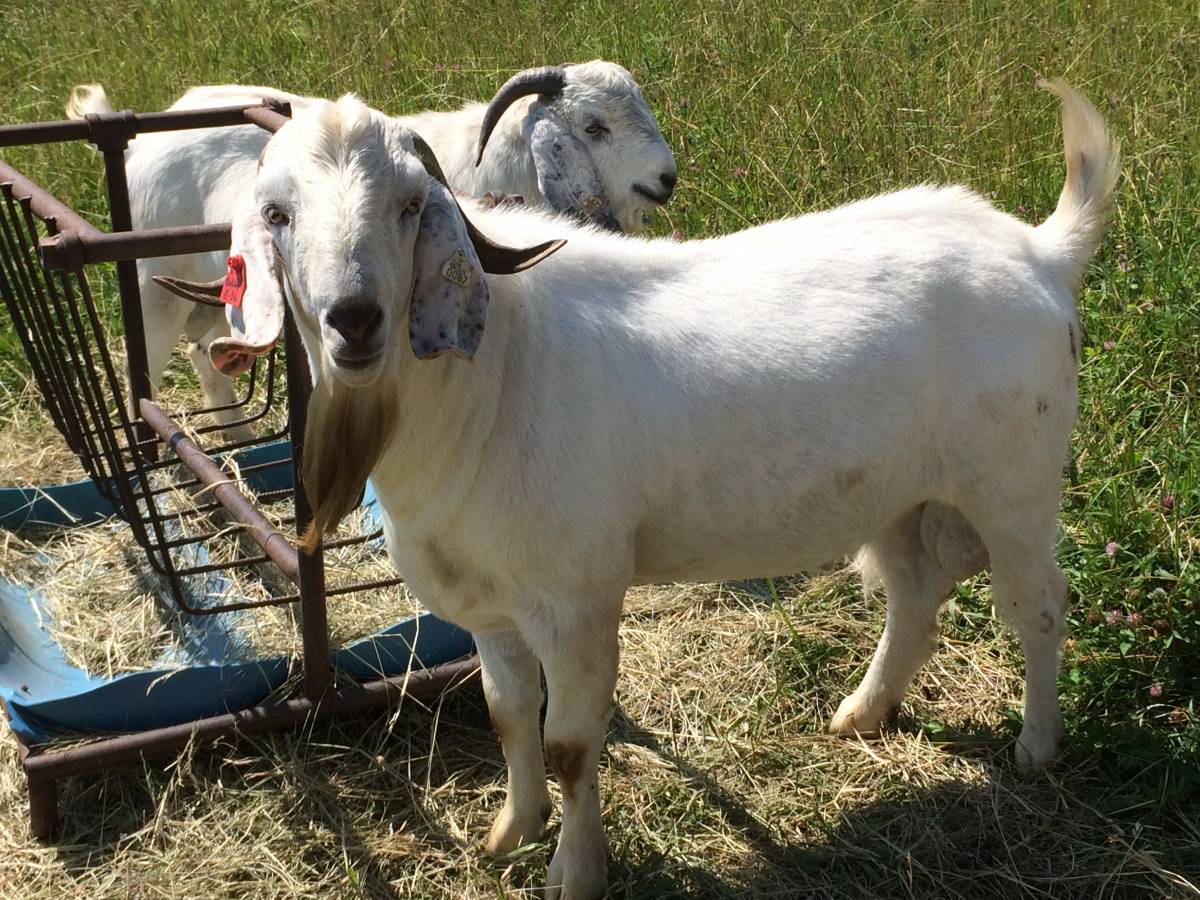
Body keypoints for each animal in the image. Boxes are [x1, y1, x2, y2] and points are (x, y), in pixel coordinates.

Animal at [157, 79, 1113, 900]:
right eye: (277, 214)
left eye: (408, 205)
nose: (354, 320)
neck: (493, 380)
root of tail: (1038, 250)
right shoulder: (489, 609)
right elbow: (508, 719)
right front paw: (509, 833)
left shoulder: (575, 603)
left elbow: (572, 746)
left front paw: (574, 874)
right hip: (896, 496)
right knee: (914, 595)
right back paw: (862, 714)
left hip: (1014, 490)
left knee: (1038, 605)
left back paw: (1035, 746)